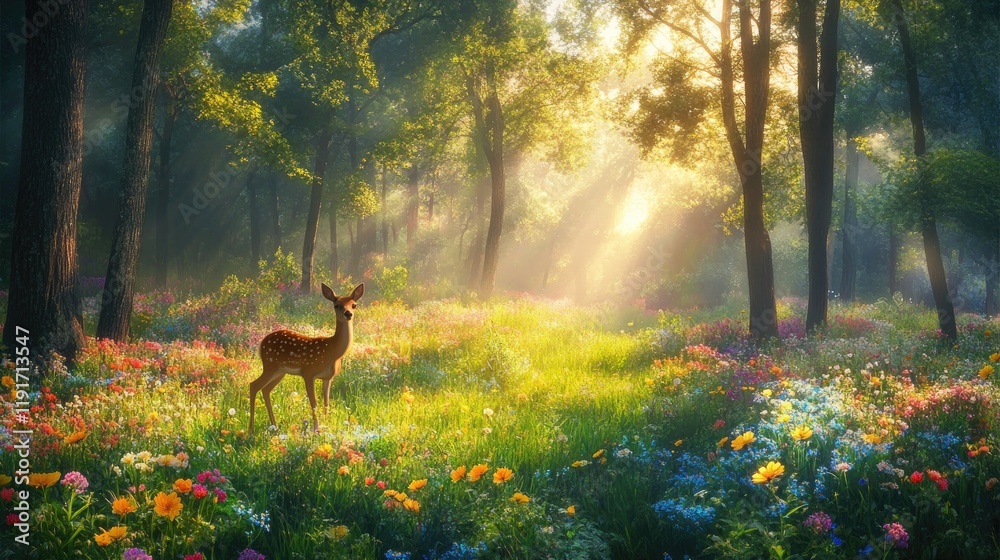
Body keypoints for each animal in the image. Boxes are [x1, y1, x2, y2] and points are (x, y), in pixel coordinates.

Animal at [249, 283, 363, 435]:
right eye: (336, 305)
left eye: (354, 305)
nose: (348, 314)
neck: (333, 352)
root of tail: (261, 343)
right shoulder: (308, 372)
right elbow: (314, 404)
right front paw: (316, 431)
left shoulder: (328, 377)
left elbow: (326, 403)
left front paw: (325, 427)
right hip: (270, 365)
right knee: (254, 385)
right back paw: (251, 429)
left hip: (280, 371)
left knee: (265, 389)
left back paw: (274, 425)